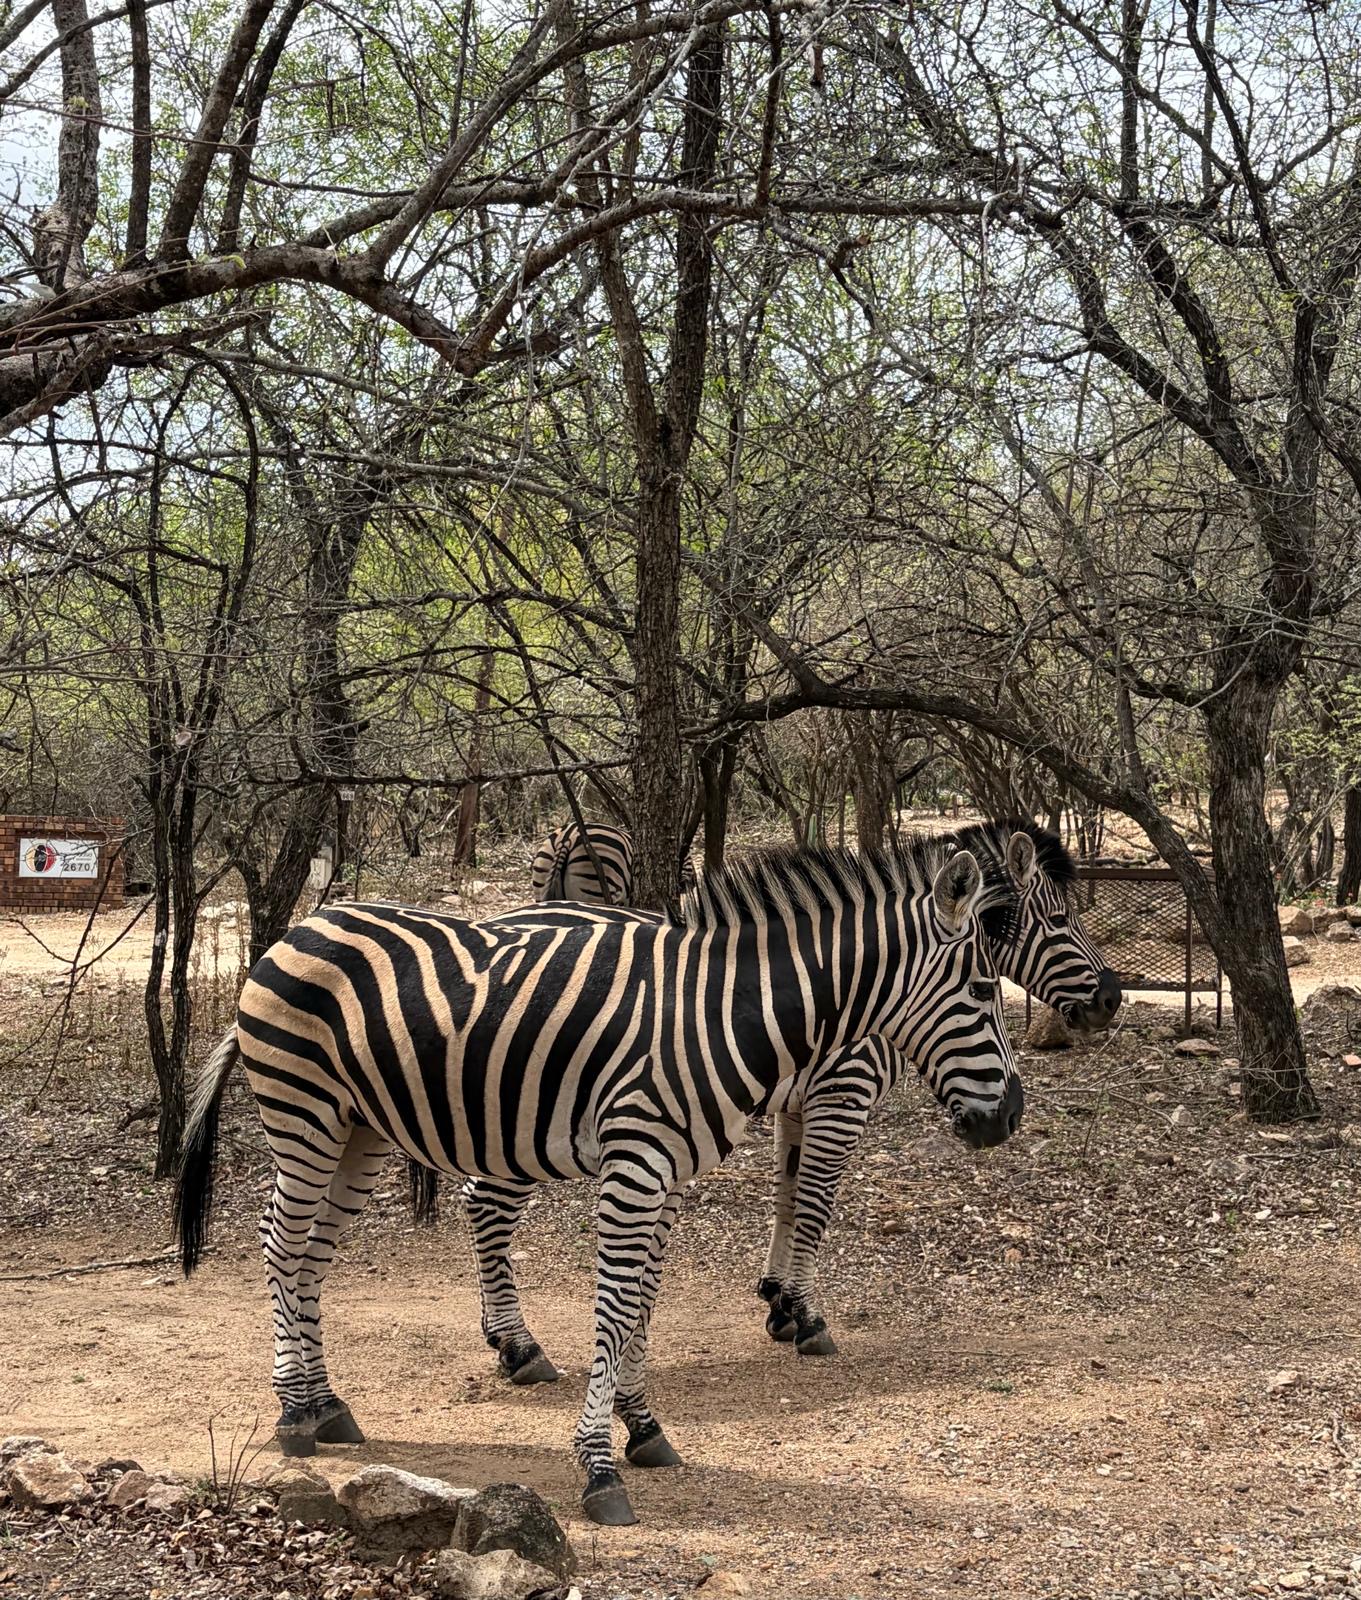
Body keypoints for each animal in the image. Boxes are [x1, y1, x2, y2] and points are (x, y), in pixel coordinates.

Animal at [174, 834, 1023, 1526]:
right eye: (983, 993)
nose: (1010, 1117)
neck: (719, 1016)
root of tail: (294, 933)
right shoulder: (637, 1164)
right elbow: (614, 1313)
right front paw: (597, 1467)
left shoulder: (671, 1176)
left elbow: (644, 1307)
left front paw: (644, 1428)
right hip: (304, 1113)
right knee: (280, 1245)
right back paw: (293, 1413)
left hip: (360, 1132)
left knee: (313, 1257)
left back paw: (328, 1405)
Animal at [455, 819, 1118, 1373]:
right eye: (1061, 919)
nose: (1112, 999)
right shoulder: (842, 1092)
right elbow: (817, 1203)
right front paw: (807, 1316)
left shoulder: (798, 1102)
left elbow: (788, 1195)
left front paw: (777, 1300)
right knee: (486, 1202)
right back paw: (518, 1345)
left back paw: (496, 1330)